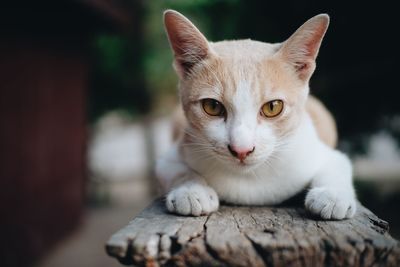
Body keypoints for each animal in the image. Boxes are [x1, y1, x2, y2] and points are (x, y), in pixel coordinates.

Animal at [156, 9, 356, 220]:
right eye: (212, 106)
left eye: (273, 107)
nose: (241, 150)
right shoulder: (175, 152)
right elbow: (175, 170)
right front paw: (191, 190)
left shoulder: (319, 150)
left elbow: (338, 165)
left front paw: (332, 195)